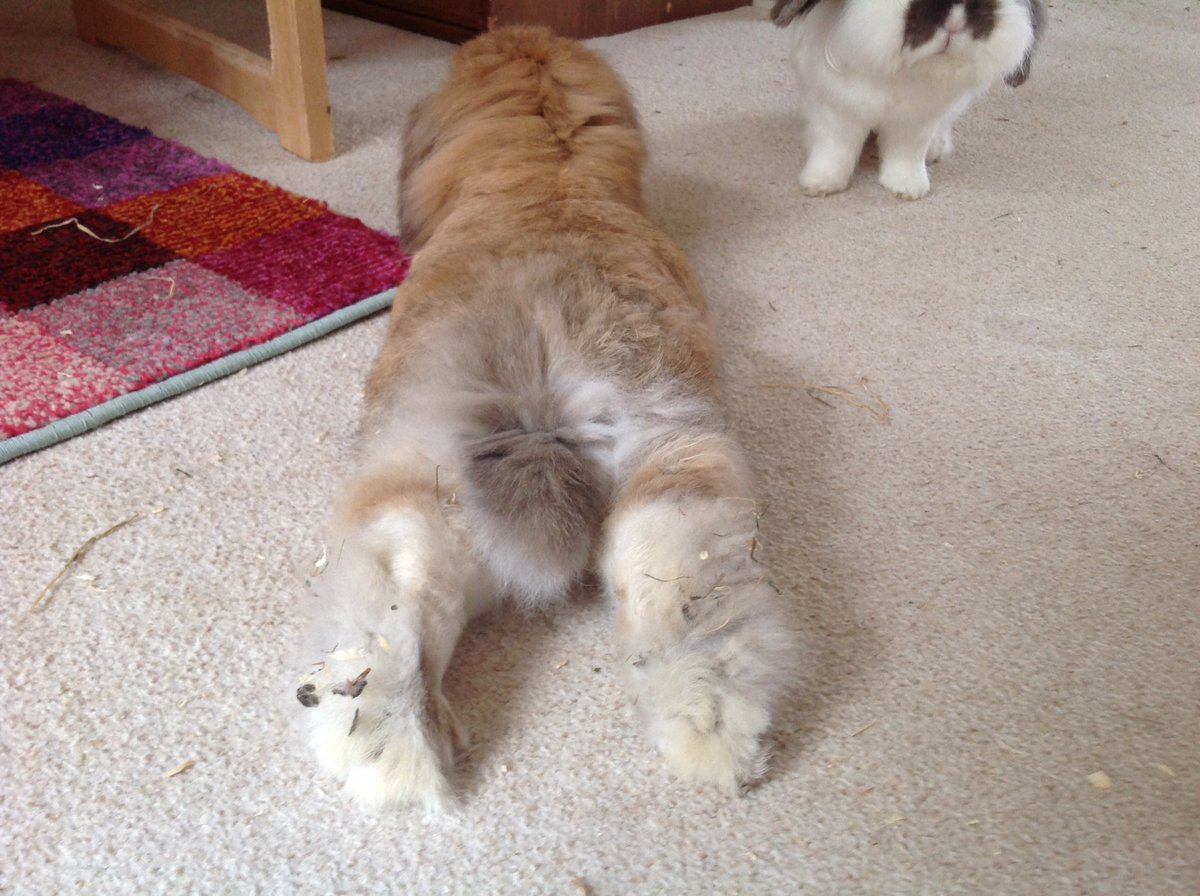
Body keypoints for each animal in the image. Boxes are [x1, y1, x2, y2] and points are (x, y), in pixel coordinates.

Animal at [771, 0, 1047, 199]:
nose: (954, 23)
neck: (906, 71)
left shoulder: (917, 122)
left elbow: (906, 154)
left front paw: (908, 188)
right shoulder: (839, 110)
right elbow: (834, 149)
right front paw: (819, 184)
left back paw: (936, 151)